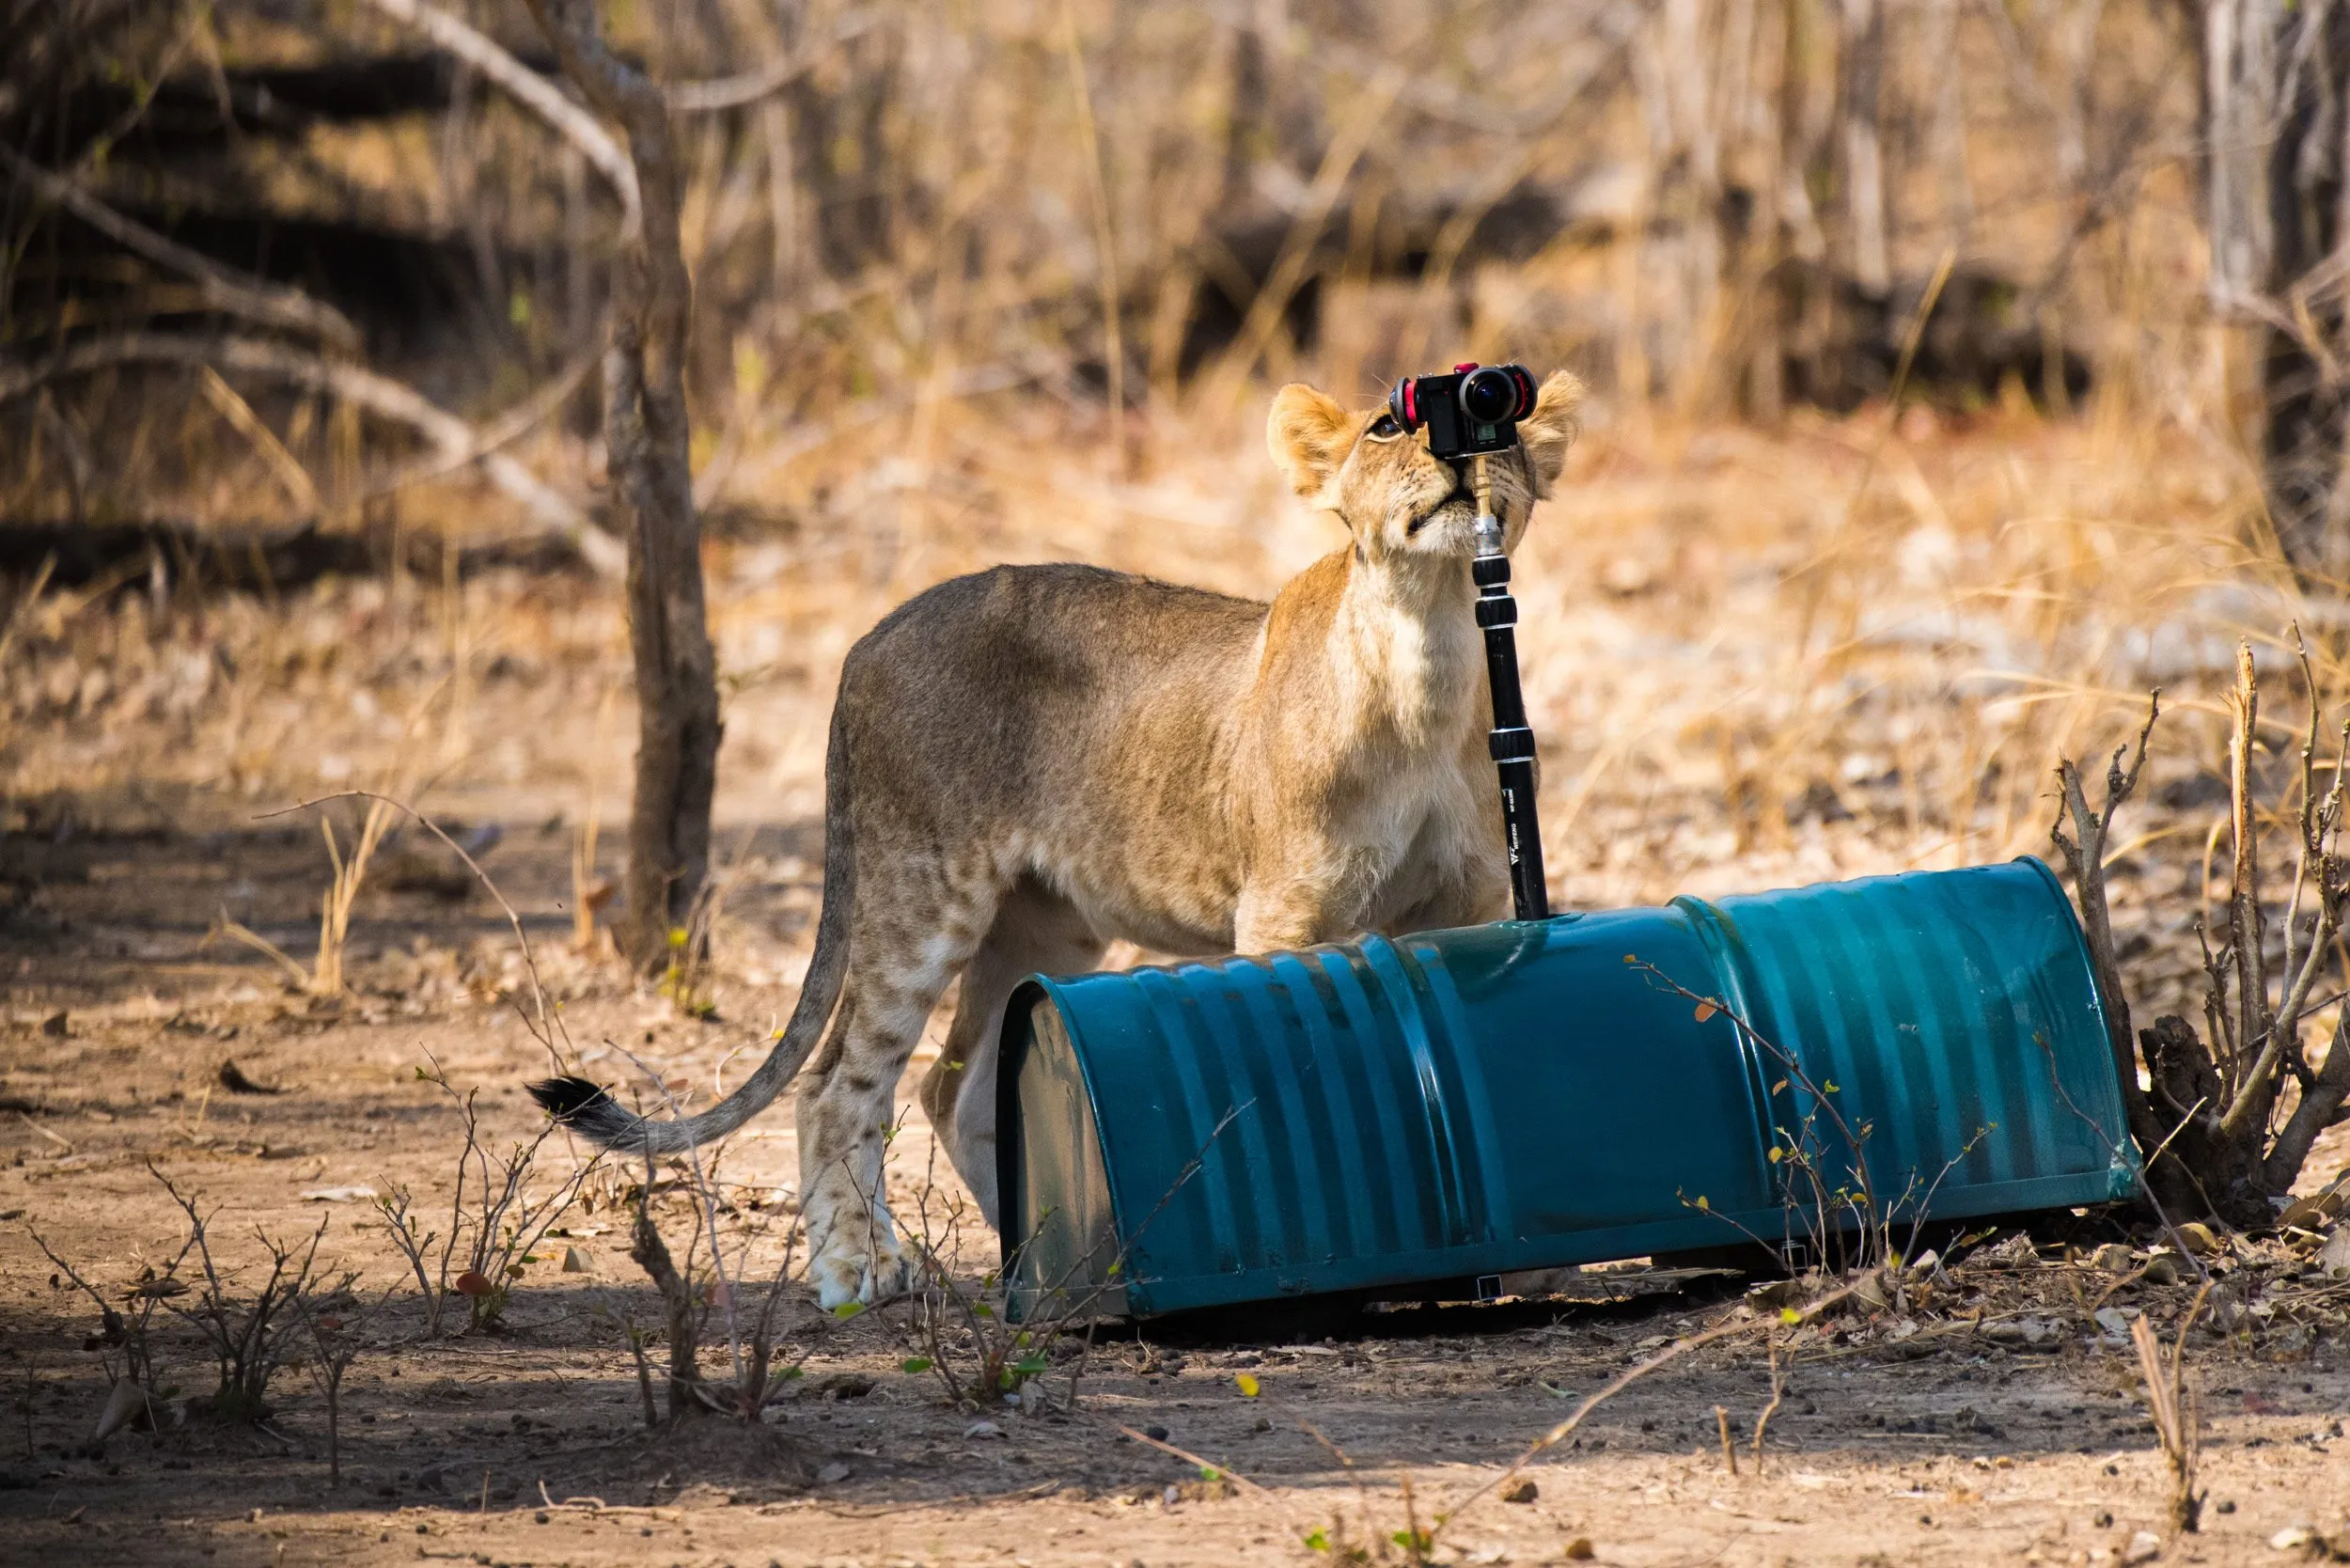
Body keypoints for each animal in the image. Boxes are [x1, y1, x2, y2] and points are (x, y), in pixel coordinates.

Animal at [532, 371, 1586, 1308]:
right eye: (1385, 424)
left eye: (1500, 420)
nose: (1457, 454)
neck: (1432, 647)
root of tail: (870, 637)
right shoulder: (1285, 907)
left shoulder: (1466, 902)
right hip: (921, 896)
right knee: (836, 1086)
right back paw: (856, 1274)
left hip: (1042, 924)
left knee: (950, 1089)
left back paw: (1044, 1256)